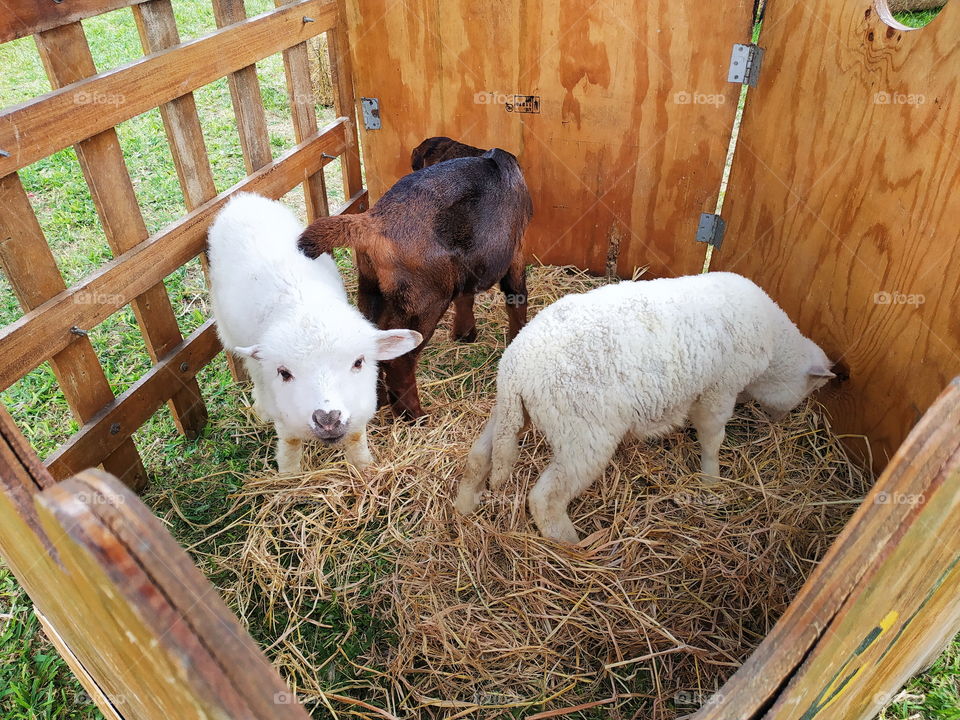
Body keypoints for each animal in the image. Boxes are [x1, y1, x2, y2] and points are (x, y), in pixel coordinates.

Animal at [207, 192, 422, 473]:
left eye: (359, 362)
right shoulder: (285, 415)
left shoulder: (359, 408)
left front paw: (364, 467)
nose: (328, 419)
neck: (305, 307)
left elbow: (356, 437)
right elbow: (290, 444)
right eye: (284, 373)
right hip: (230, 332)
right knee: (252, 367)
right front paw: (289, 475)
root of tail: (242, 198)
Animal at [298, 147, 532, 419]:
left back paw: (378, 401)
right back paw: (413, 415)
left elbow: (466, 297)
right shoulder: (516, 250)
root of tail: (373, 224)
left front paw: (465, 334)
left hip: (372, 291)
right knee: (399, 361)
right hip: (424, 302)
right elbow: (516, 296)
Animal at [455, 272, 836, 543]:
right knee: (545, 498)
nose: (779, 422)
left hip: (510, 412)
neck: (773, 344)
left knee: (479, 457)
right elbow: (712, 436)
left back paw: (464, 507)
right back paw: (574, 545)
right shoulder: (719, 387)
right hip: (583, 433)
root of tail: (517, 366)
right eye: (808, 389)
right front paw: (712, 480)